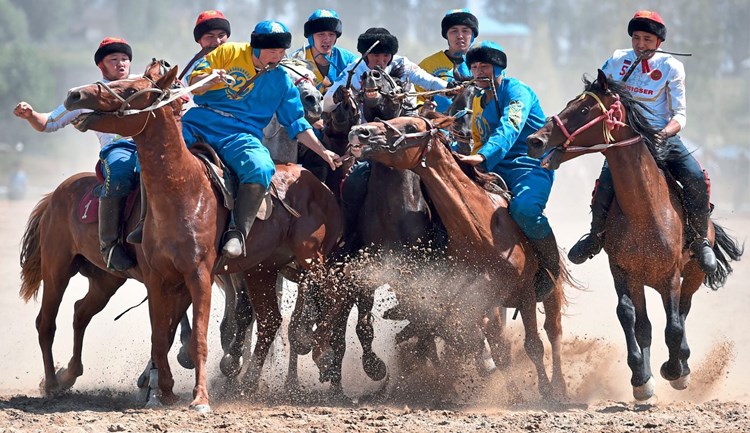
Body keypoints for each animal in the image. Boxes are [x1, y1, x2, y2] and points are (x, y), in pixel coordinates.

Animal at [55, 60, 340, 408]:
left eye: (132, 89)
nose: (74, 94)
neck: (184, 191)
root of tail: (318, 184)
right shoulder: (159, 277)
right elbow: (160, 337)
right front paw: (162, 389)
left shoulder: (200, 274)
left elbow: (200, 338)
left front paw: (200, 397)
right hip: (262, 270)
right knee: (271, 320)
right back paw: (249, 381)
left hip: (312, 259)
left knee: (327, 295)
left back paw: (321, 354)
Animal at [350, 113, 572, 400]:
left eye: (410, 126)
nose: (360, 131)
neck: (480, 232)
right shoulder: (480, 301)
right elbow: (497, 350)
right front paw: (513, 396)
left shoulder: (525, 293)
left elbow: (533, 345)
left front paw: (544, 392)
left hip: (550, 290)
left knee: (553, 332)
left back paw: (560, 387)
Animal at [524, 69, 744, 400]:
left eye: (584, 109)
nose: (535, 140)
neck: (645, 212)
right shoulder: (622, 271)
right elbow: (629, 317)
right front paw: (641, 378)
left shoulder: (671, 274)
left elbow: (674, 326)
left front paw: (674, 371)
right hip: (643, 280)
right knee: (646, 326)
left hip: (692, 274)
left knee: (683, 312)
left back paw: (682, 365)